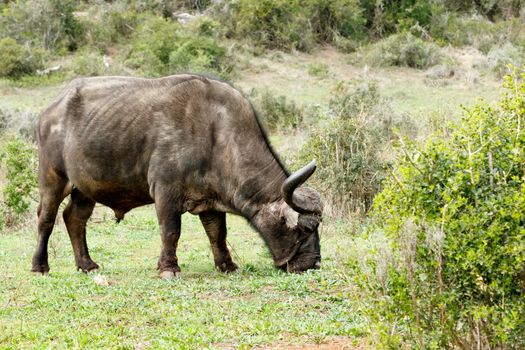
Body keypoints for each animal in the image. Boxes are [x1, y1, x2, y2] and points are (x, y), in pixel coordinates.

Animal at [31, 74, 324, 278]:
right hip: (53, 179)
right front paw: (168, 268)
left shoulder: (210, 199)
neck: (216, 133)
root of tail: (49, 111)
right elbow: (171, 230)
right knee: (46, 219)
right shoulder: (165, 192)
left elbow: (217, 233)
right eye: (305, 229)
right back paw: (40, 266)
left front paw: (226, 265)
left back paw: (86, 264)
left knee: (74, 219)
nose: (314, 263)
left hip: (84, 188)